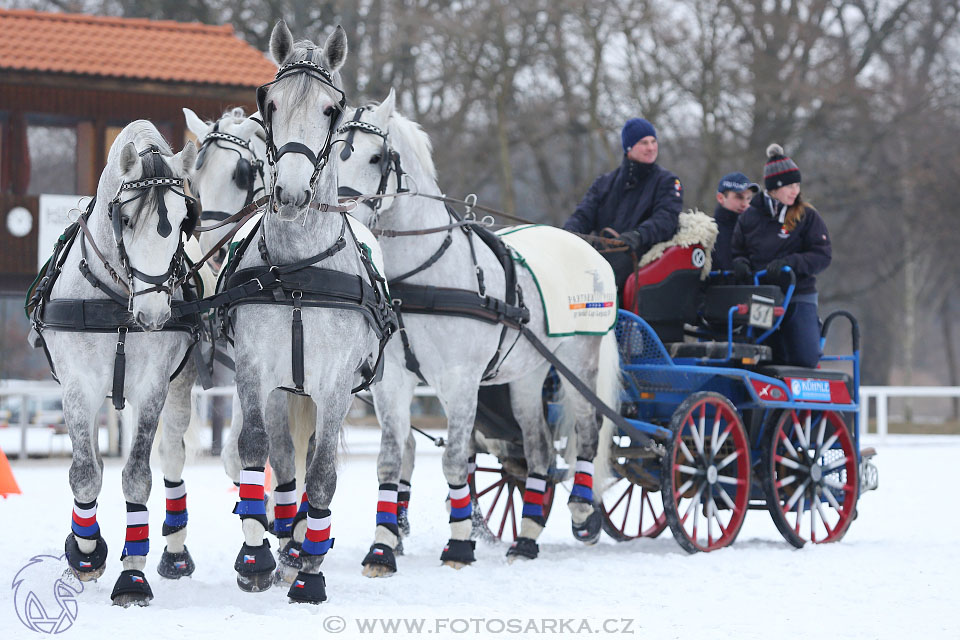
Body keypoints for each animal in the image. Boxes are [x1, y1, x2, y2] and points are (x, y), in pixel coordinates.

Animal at [31, 121, 197, 604]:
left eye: (183, 220)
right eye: (125, 220)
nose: (154, 316)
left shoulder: (152, 387)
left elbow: (138, 475)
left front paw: (132, 575)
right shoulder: (77, 387)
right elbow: (85, 473)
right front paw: (86, 555)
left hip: (178, 388)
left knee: (172, 453)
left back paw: (175, 553)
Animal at [223, 18, 392, 600]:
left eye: (329, 109)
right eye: (270, 104)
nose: (291, 193)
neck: (297, 272)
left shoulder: (337, 382)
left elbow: (323, 473)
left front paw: (310, 571)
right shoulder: (256, 371)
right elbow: (256, 451)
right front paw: (255, 558)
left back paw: (302, 546)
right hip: (285, 390)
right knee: (281, 457)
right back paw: (284, 541)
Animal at [338, 91, 624, 576]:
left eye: (376, 156)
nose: (340, 212)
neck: (423, 275)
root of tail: (592, 249)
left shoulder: (460, 381)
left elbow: (455, 461)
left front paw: (458, 546)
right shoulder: (392, 381)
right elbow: (390, 461)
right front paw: (381, 549)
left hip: (579, 361)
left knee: (588, 431)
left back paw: (584, 513)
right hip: (527, 376)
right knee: (539, 452)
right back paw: (526, 539)